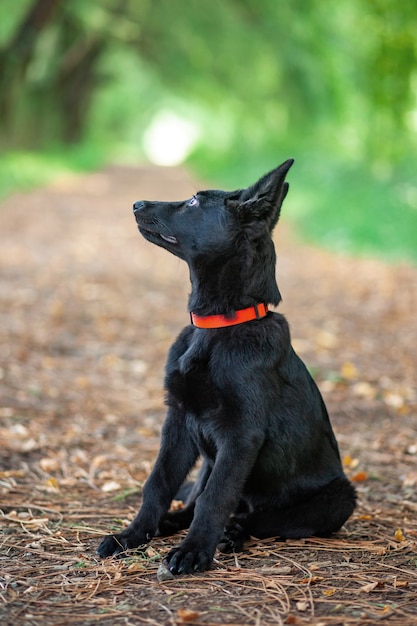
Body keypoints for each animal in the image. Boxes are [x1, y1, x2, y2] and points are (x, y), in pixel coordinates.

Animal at [97, 160, 354, 572]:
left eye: (193, 202)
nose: (136, 203)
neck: (218, 327)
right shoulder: (179, 419)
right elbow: (158, 483)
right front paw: (133, 535)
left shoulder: (241, 435)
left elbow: (216, 496)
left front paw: (193, 551)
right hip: (206, 458)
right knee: (196, 501)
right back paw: (173, 522)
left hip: (339, 498)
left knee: (257, 517)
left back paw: (230, 534)